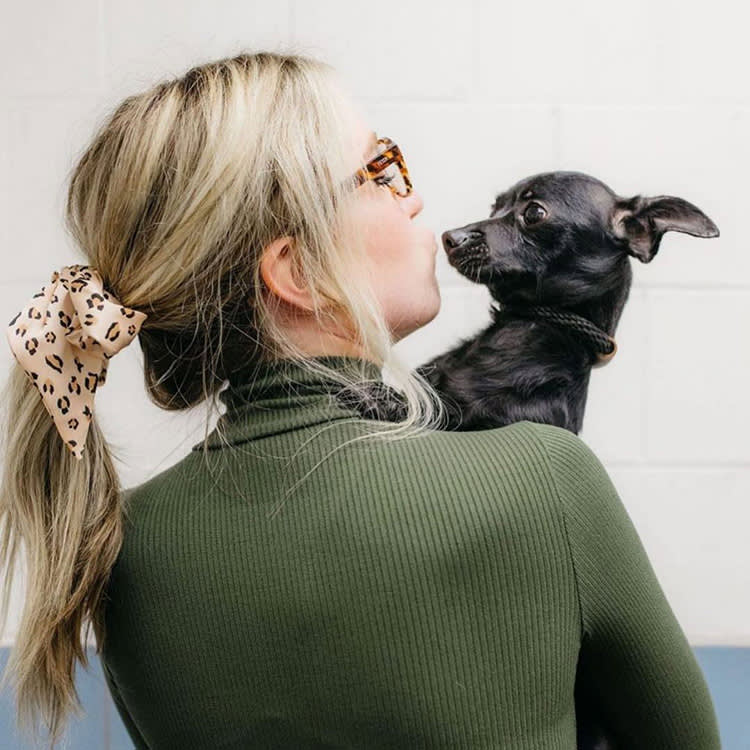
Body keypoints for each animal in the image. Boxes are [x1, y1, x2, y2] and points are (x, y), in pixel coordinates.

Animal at [338, 172, 720, 750]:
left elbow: (441, 411)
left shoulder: (491, 419)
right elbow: (428, 395)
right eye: (495, 205)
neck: (525, 334)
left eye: (534, 213)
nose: (450, 236)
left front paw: (378, 398)